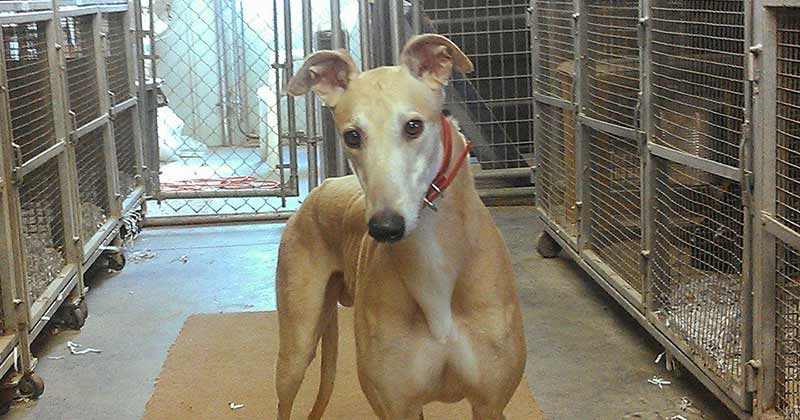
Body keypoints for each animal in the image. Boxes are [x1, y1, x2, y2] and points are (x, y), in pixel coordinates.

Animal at [278, 34, 528, 418]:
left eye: (414, 126)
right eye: (352, 136)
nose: (385, 227)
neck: (433, 263)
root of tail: (322, 188)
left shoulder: (489, 403)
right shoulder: (396, 405)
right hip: (296, 344)